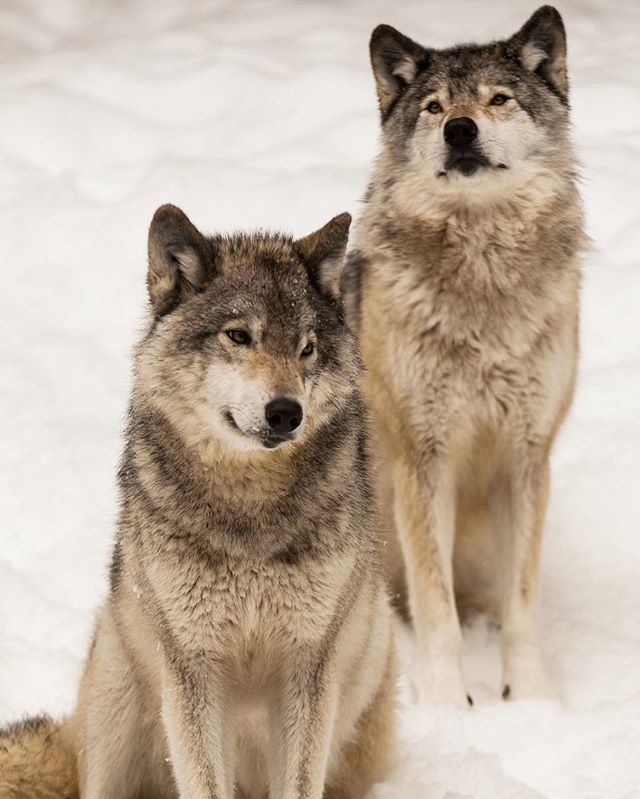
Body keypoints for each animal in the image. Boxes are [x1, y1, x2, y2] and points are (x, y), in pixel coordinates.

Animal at [0, 205, 395, 798]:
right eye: (239, 336)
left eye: (307, 348)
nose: (287, 412)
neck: (249, 508)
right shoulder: (193, 667)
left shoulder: (308, 664)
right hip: (117, 691)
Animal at [343, 6, 587, 706]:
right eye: (433, 107)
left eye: (498, 99)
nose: (459, 129)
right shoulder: (424, 460)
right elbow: (435, 606)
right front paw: (450, 702)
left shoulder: (527, 458)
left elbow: (523, 605)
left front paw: (530, 701)